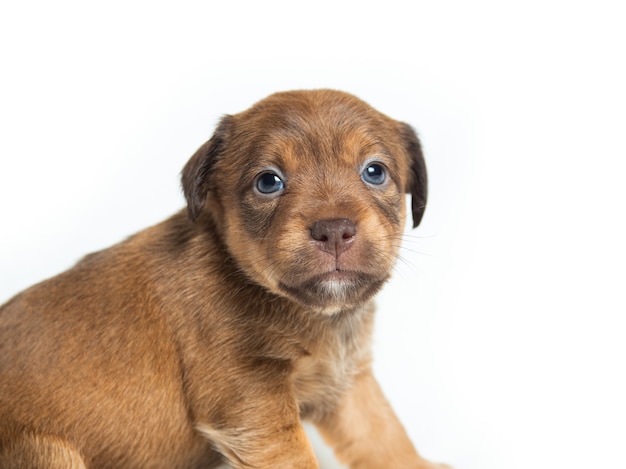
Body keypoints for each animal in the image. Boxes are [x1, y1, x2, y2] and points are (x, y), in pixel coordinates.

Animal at [0, 88, 444, 468]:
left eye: (375, 172)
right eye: (268, 182)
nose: (334, 230)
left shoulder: (348, 385)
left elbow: (385, 436)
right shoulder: (255, 400)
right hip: (49, 451)